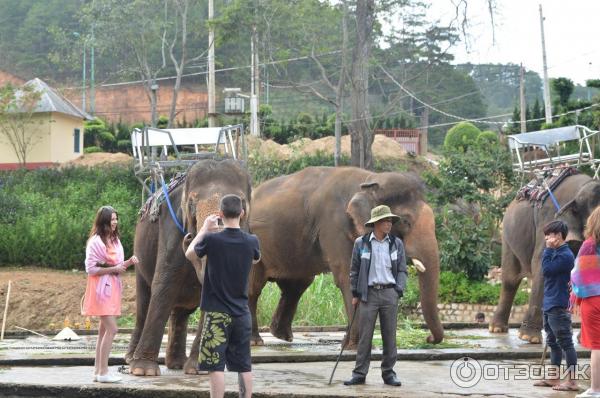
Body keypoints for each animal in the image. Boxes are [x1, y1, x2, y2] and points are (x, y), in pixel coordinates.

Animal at [126, 157, 251, 374]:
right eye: (192, 205)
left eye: (242, 205)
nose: (191, 237)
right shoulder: (172, 228)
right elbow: (164, 286)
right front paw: (144, 371)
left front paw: (200, 369)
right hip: (139, 258)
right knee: (144, 302)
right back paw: (130, 360)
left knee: (180, 312)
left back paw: (177, 364)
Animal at [246, 165, 442, 346]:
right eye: (405, 221)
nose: (429, 338)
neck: (369, 180)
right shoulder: (334, 225)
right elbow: (348, 275)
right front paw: (354, 347)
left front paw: (347, 345)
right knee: (254, 287)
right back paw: (255, 341)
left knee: (296, 286)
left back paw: (283, 336)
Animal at [490, 173, 600, 342]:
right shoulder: (549, 223)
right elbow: (543, 267)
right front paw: (530, 338)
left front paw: (585, 340)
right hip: (508, 238)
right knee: (510, 280)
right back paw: (497, 329)